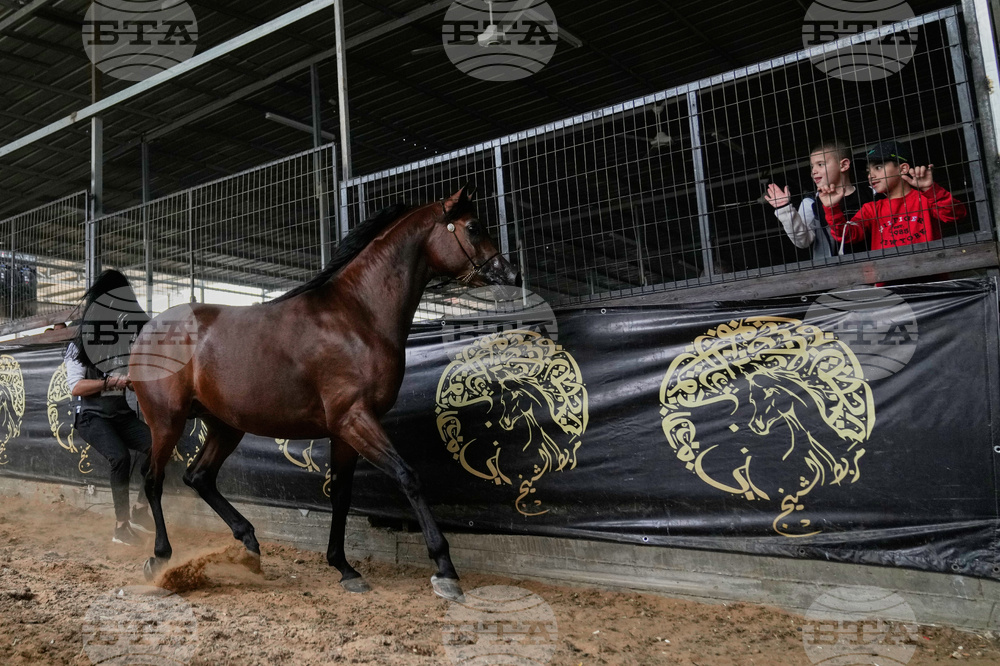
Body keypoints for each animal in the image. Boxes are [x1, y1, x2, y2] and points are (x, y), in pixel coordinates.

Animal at [130, 185, 520, 601]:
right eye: (474, 227)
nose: (511, 272)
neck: (357, 315)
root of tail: (147, 330)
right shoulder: (354, 418)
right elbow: (408, 476)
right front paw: (445, 570)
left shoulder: (343, 431)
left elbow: (341, 495)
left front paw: (345, 568)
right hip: (167, 422)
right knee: (153, 479)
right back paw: (160, 557)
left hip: (225, 425)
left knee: (198, 476)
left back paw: (249, 544)